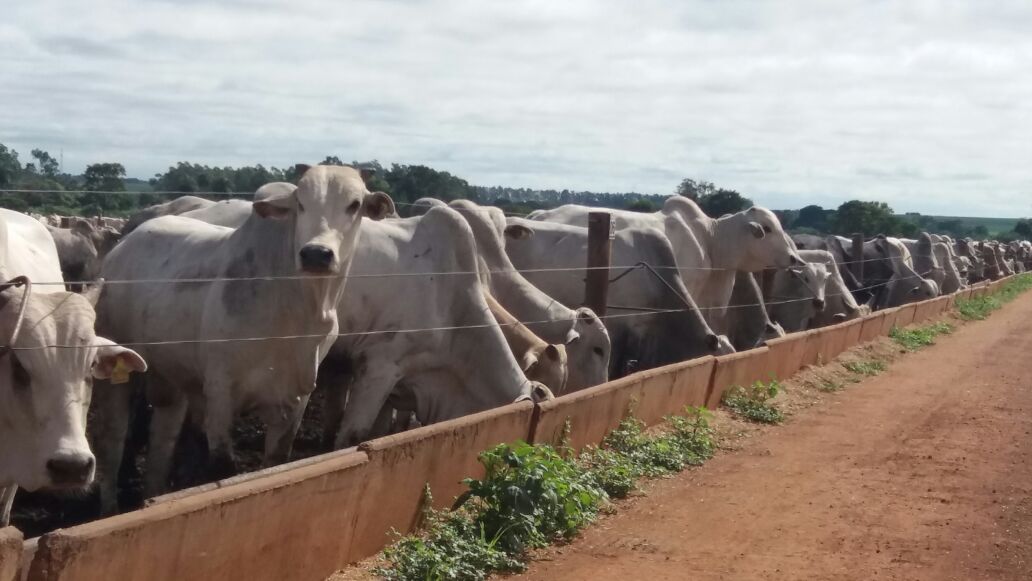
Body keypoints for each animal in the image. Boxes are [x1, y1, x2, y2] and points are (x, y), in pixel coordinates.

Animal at [90, 165, 394, 513]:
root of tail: (123, 245)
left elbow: (276, 461)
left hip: (171, 376)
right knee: (113, 439)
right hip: (119, 374)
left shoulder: (295, 398)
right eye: (300, 203)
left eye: (354, 205)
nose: (316, 254)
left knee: (162, 441)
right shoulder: (221, 392)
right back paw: (110, 507)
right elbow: (222, 468)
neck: (297, 311)